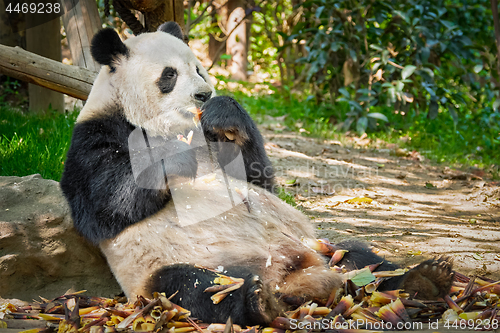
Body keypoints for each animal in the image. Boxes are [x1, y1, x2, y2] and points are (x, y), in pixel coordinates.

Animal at [60, 22, 456, 326]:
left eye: (199, 69)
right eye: (168, 75)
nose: (203, 94)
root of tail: (291, 277)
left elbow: (258, 179)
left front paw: (224, 113)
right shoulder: (94, 136)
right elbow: (106, 204)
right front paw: (175, 159)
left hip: (319, 246)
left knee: (363, 259)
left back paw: (424, 279)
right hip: (171, 270)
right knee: (196, 287)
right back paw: (257, 302)